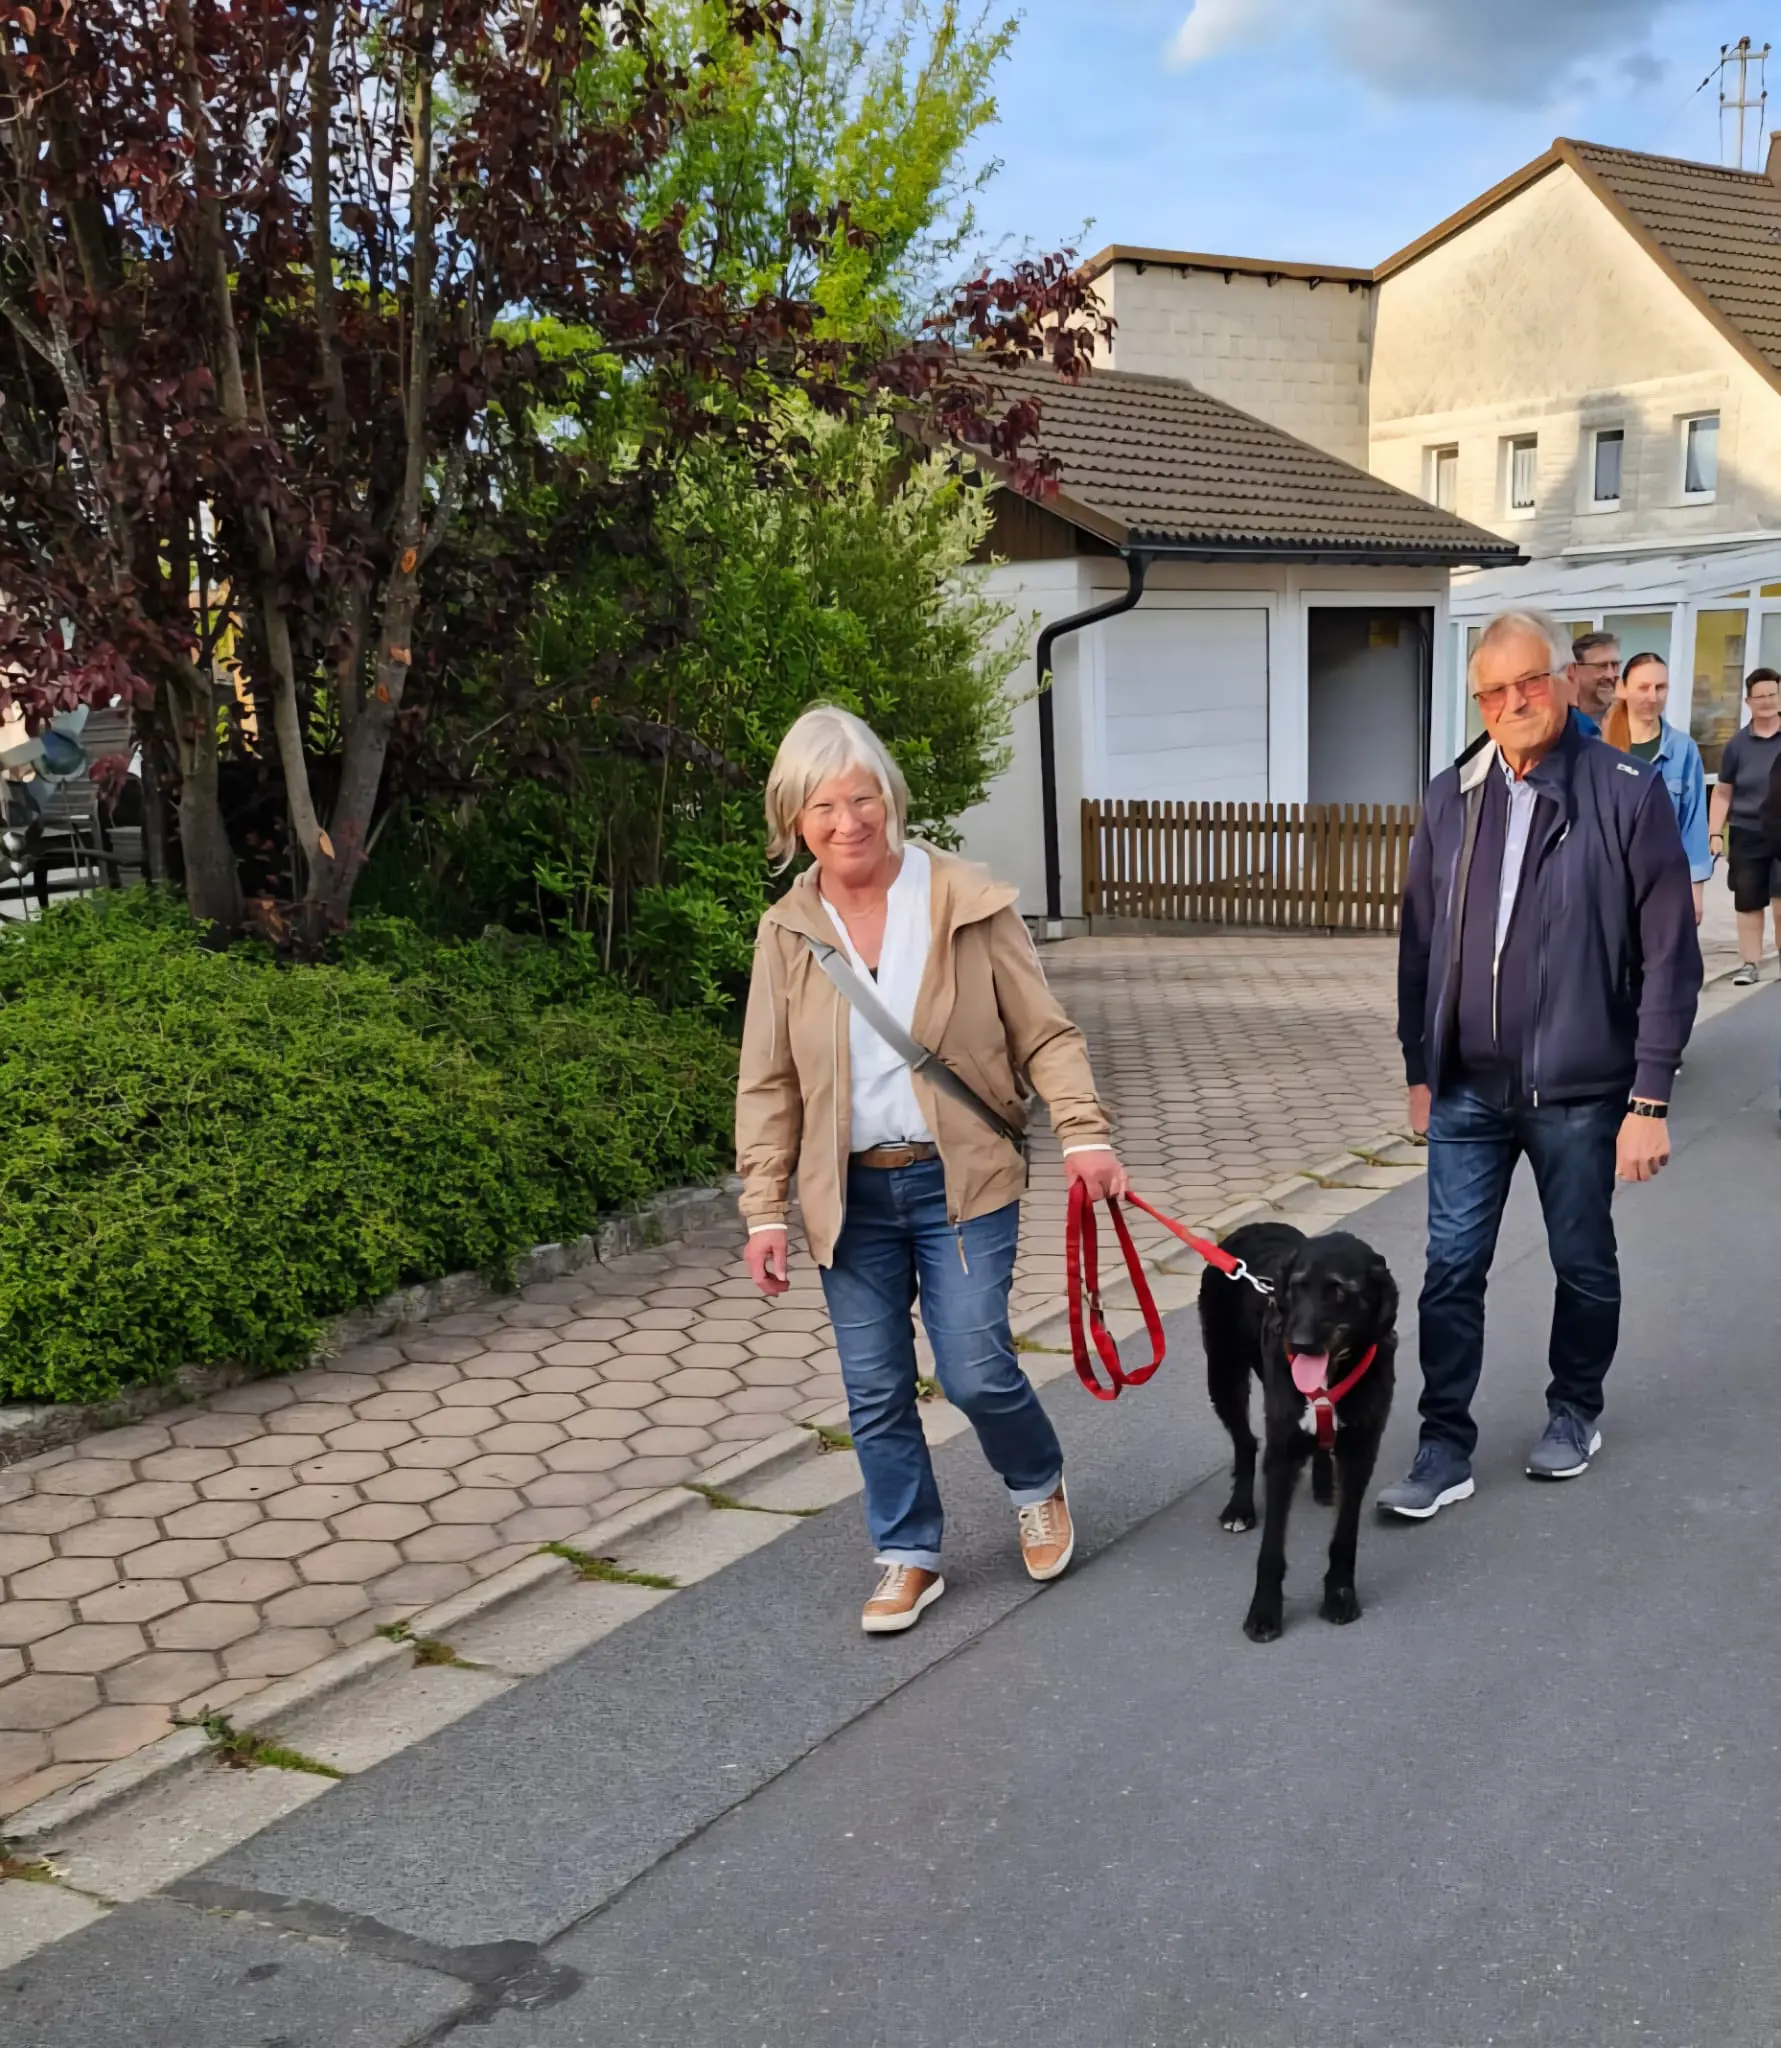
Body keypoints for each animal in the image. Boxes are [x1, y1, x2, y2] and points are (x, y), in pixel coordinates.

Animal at [1197, 1223, 1398, 1642]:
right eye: (1298, 1287)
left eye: (1338, 1290)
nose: (1299, 1343)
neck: (1330, 1372)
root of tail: (1248, 1228)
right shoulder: (1282, 1454)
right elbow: (1271, 1549)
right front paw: (1264, 1613)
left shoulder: (1361, 1451)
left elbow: (1345, 1536)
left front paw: (1339, 1596)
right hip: (1222, 1374)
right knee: (1246, 1442)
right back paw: (1240, 1508)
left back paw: (1322, 1484)